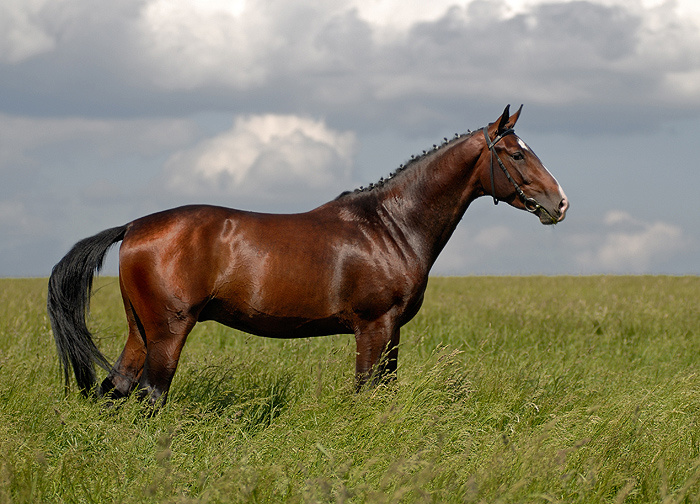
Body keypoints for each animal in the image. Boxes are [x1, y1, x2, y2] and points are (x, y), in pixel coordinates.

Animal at [47, 105, 568, 406]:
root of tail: (134, 227)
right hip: (169, 332)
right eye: (516, 155)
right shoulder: (374, 325)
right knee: (151, 395)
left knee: (117, 390)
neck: (390, 226)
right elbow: (366, 394)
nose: (559, 202)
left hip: (141, 331)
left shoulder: (392, 330)